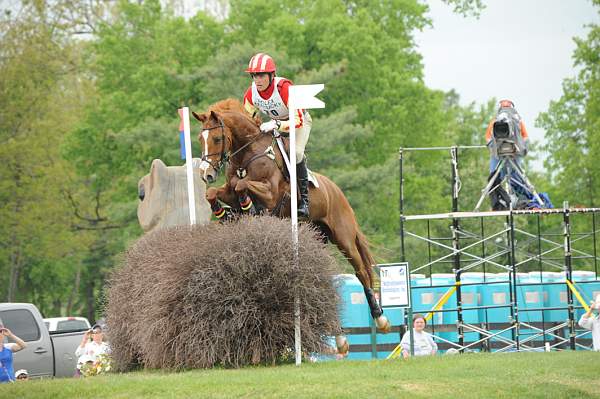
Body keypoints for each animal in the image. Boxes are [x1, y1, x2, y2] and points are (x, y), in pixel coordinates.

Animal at [190, 98, 392, 342]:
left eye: (217, 139)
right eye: (200, 138)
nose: (206, 174)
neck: (247, 154)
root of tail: (337, 191)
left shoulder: (270, 194)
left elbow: (242, 185)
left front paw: (248, 208)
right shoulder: (227, 190)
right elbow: (214, 193)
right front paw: (226, 214)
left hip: (343, 237)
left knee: (361, 271)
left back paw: (380, 318)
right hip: (315, 239)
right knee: (325, 278)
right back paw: (340, 337)